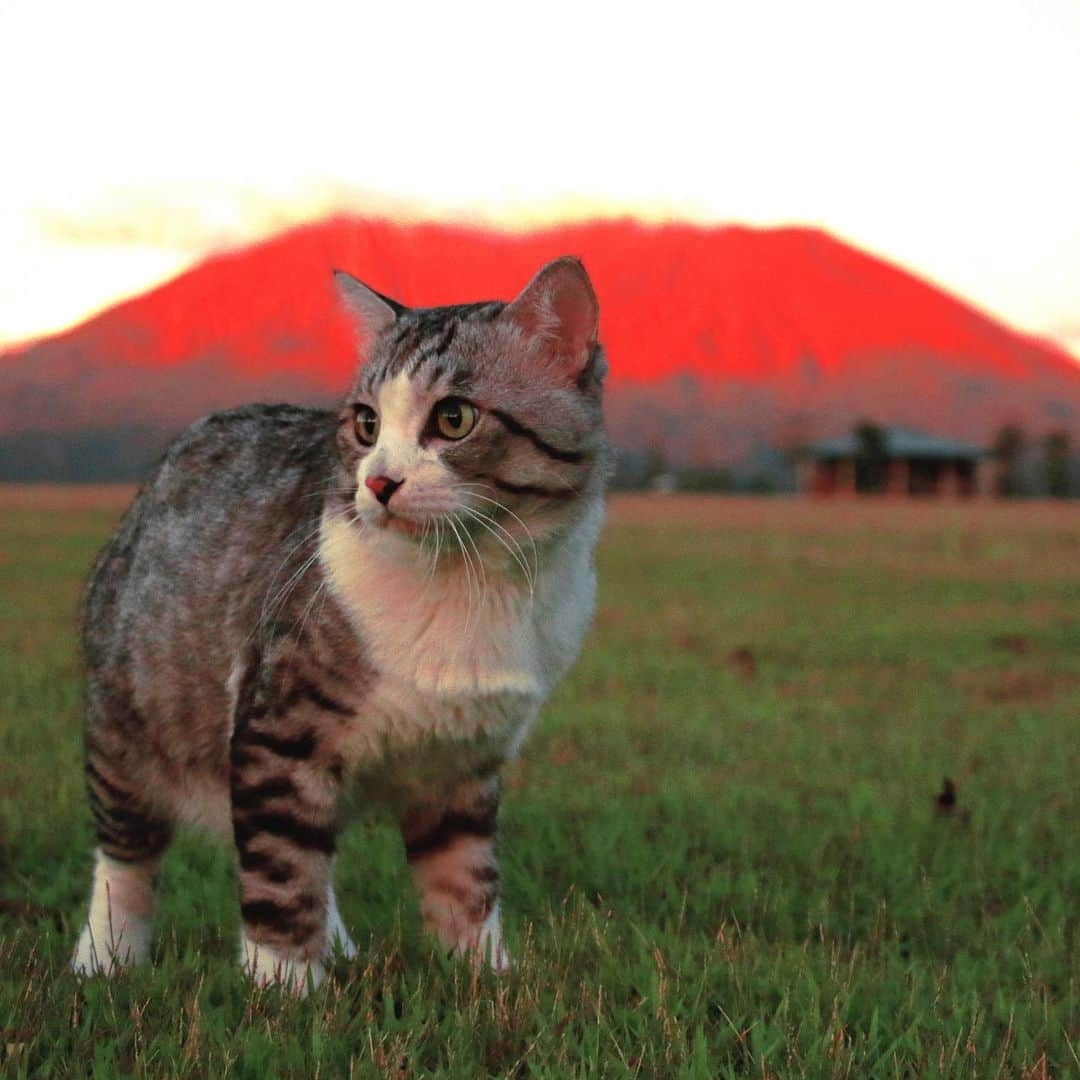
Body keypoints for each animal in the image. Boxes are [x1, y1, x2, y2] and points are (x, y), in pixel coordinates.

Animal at [69, 257, 609, 989]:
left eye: (455, 418)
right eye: (366, 422)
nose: (378, 482)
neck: (471, 581)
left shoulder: (465, 763)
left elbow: (465, 883)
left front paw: (484, 977)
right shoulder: (278, 730)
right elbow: (280, 872)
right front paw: (284, 985)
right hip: (130, 719)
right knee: (125, 857)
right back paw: (104, 957)